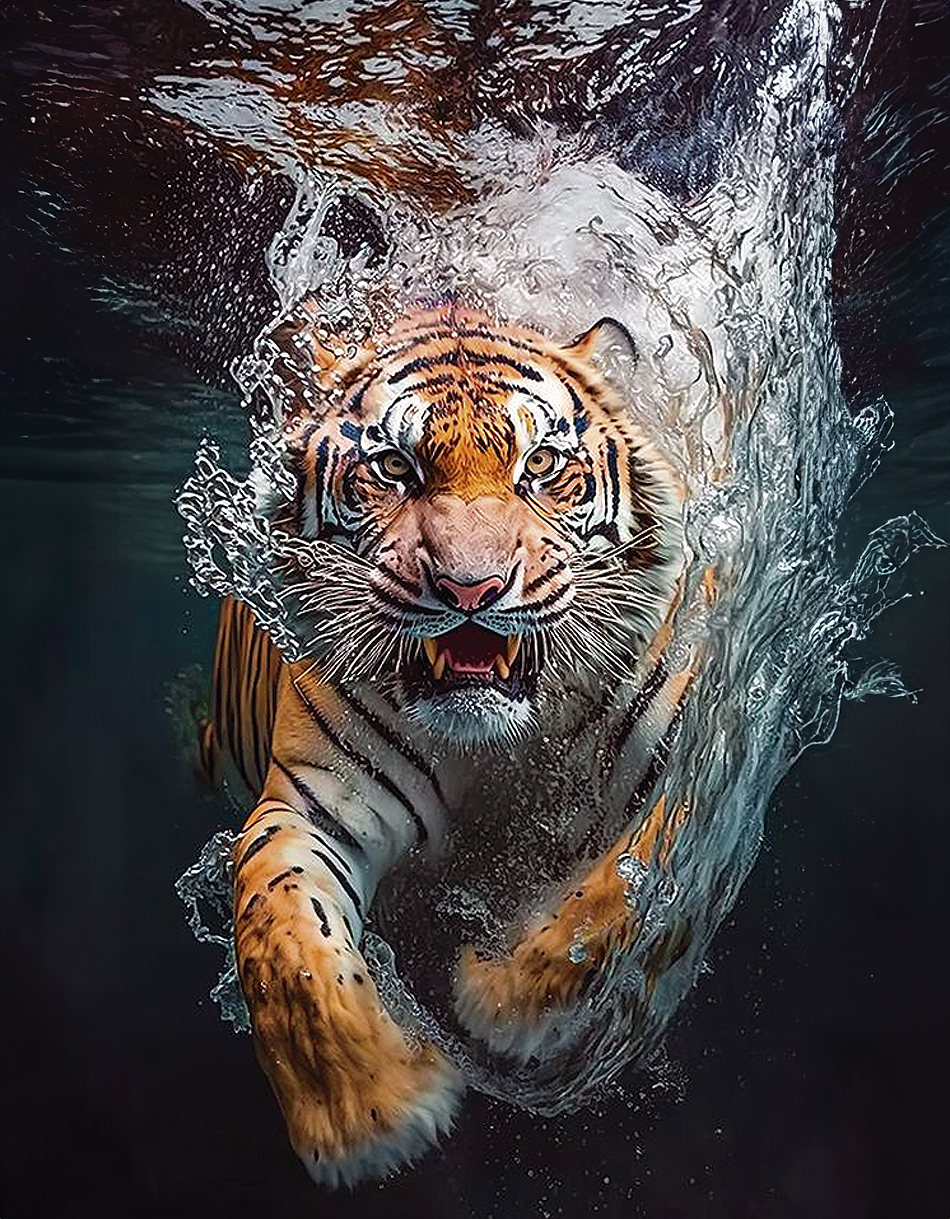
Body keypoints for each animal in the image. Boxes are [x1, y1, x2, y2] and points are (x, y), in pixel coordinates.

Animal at [198, 298, 711, 1187]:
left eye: (541, 464)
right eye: (394, 468)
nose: (472, 588)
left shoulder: (687, 766)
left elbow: (635, 892)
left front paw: (503, 1000)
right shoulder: (311, 808)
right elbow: (283, 933)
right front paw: (370, 1108)